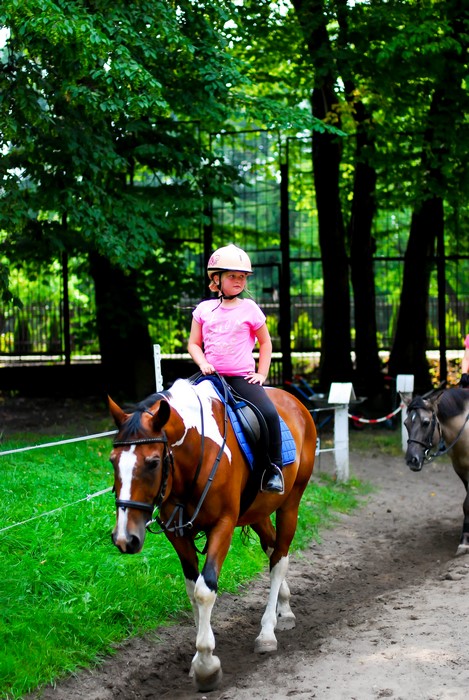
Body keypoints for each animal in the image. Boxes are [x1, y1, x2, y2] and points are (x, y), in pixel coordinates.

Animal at [108, 377, 317, 691]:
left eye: (153, 462)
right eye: (112, 461)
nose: (125, 538)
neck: (196, 451)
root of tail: (295, 402)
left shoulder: (223, 525)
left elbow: (205, 590)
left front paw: (207, 665)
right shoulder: (177, 533)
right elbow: (191, 590)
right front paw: (197, 660)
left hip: (290, 503)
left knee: (280, 558)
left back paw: (268, 632)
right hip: (258, 510)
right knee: (272, 549)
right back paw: (285, 606)